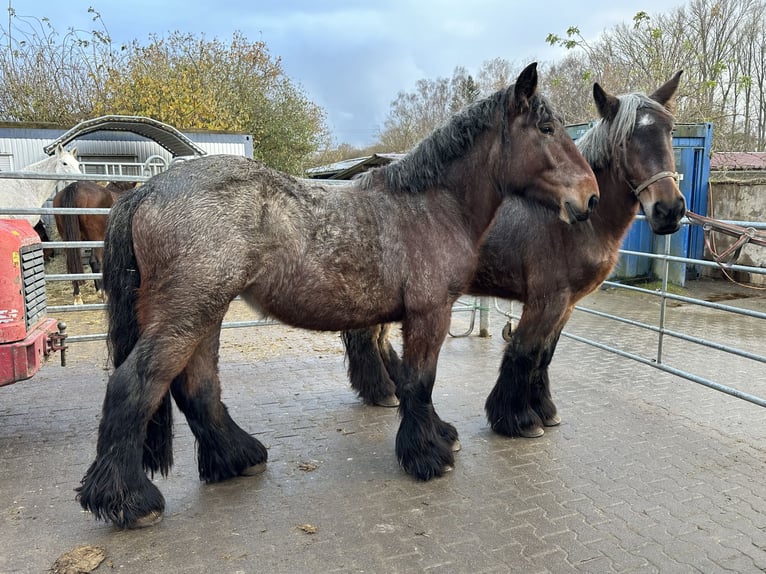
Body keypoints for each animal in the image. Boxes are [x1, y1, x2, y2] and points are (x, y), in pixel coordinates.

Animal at [76, 63, 600, 532]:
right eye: (547, 128)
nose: (590, 198)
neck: (431, 205)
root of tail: (145, 191)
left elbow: (414, 380)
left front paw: (439, 437)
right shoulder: (430, 312)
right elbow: (419, 381)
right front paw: (428, 455)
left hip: (206, 312)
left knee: (197, 387)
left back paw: (236, 457)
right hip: (187, 314)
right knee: (134, 386)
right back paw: (130, 502)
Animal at [344, 73, 688, 440]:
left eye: (669, 130)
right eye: (624, 142)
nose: (669, 210)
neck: (571, 223)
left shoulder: (566, 305)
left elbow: (544, 356)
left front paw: (544, 410)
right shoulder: (545, 301)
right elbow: (524, 353)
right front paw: (518, 418)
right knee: (369, 336)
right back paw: (382, 391)